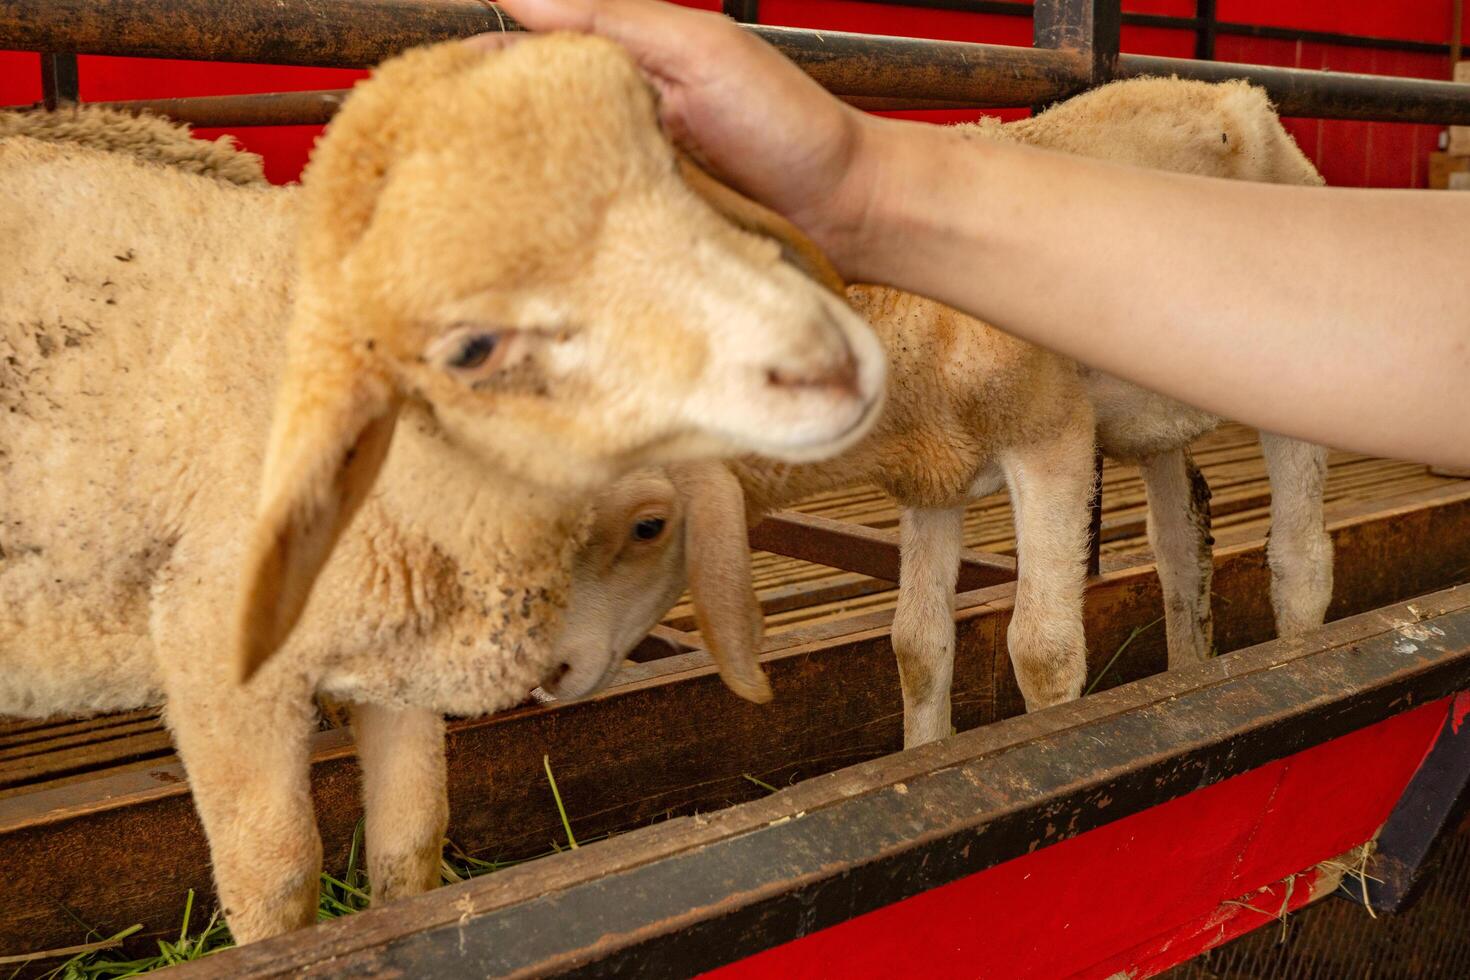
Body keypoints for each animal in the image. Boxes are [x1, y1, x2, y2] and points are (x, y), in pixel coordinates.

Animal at [0, 34, 882, 946]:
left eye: (648, 528)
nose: (551, 670)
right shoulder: (215, 650)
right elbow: (277, 873)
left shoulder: (405, 648)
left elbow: (412, 839)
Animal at [655, 76, 1334, 752]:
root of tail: (1235, 94)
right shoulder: (930, 473)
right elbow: (916, 644)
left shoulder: (1051, 436)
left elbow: (1042, 649)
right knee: (1181, 539)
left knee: (1300, 555)